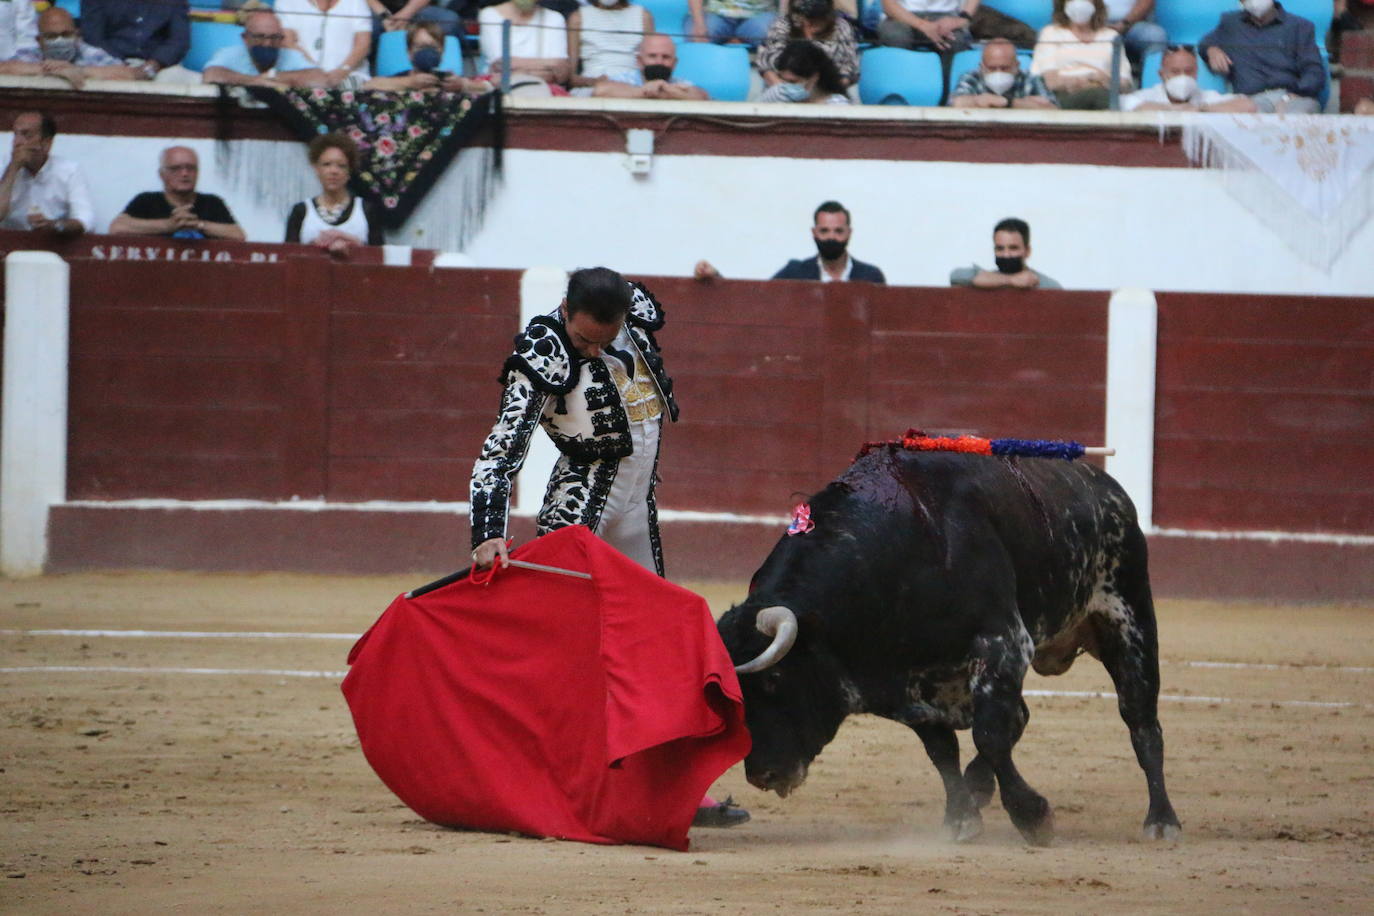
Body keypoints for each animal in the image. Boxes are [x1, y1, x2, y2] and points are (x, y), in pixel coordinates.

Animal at [719, 444, 1181, 845]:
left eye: (775, 679)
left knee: (1142, 723)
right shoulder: (910, 684)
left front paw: (1033, 818)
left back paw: (1162, 821)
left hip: (1129, 620)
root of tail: (1106, 486)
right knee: (1021, 715)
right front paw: (961, 817)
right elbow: (943, 748)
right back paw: (978, 786)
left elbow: (990, 733)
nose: (761, 774)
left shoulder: (1003, 643)